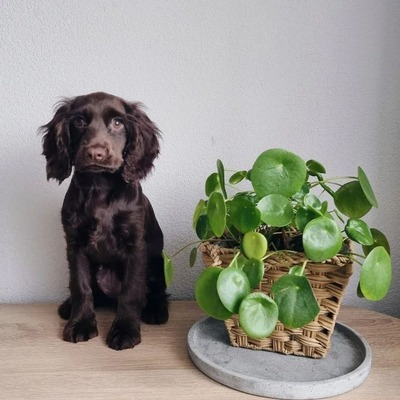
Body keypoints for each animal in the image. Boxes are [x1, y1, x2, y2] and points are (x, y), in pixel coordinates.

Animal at [41, 92, 169, 348]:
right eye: (79, 121)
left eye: (118, 123)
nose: (95, 154)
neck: (99, 186)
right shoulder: (75, 245)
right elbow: (80, 286)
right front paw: (80, 323)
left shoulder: (135, 246)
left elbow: (131, 291)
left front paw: (125, 330)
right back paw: (69, 307)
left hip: (158, 264)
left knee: (158, 292)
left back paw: (156, 310)